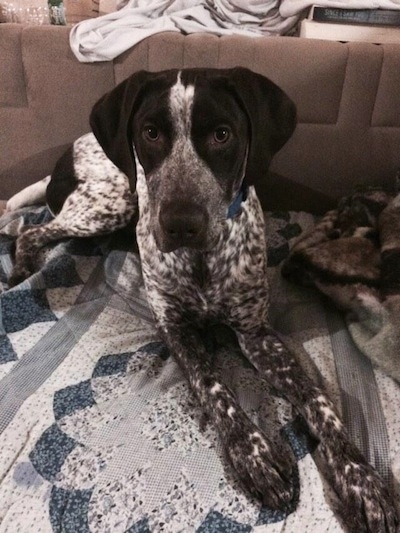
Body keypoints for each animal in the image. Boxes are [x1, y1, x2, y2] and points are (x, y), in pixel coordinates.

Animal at [5, 68, 396, 528]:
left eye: (222, 134)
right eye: (151, 132)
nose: (180, 224)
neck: (203, 260)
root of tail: (69, 149)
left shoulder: (256, 333)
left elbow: (318, 401)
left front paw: (362, 481)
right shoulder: (177, 330)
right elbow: (214, 387)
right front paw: (255, 456)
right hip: (110, 203)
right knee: (32, 231)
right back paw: (22, 268)